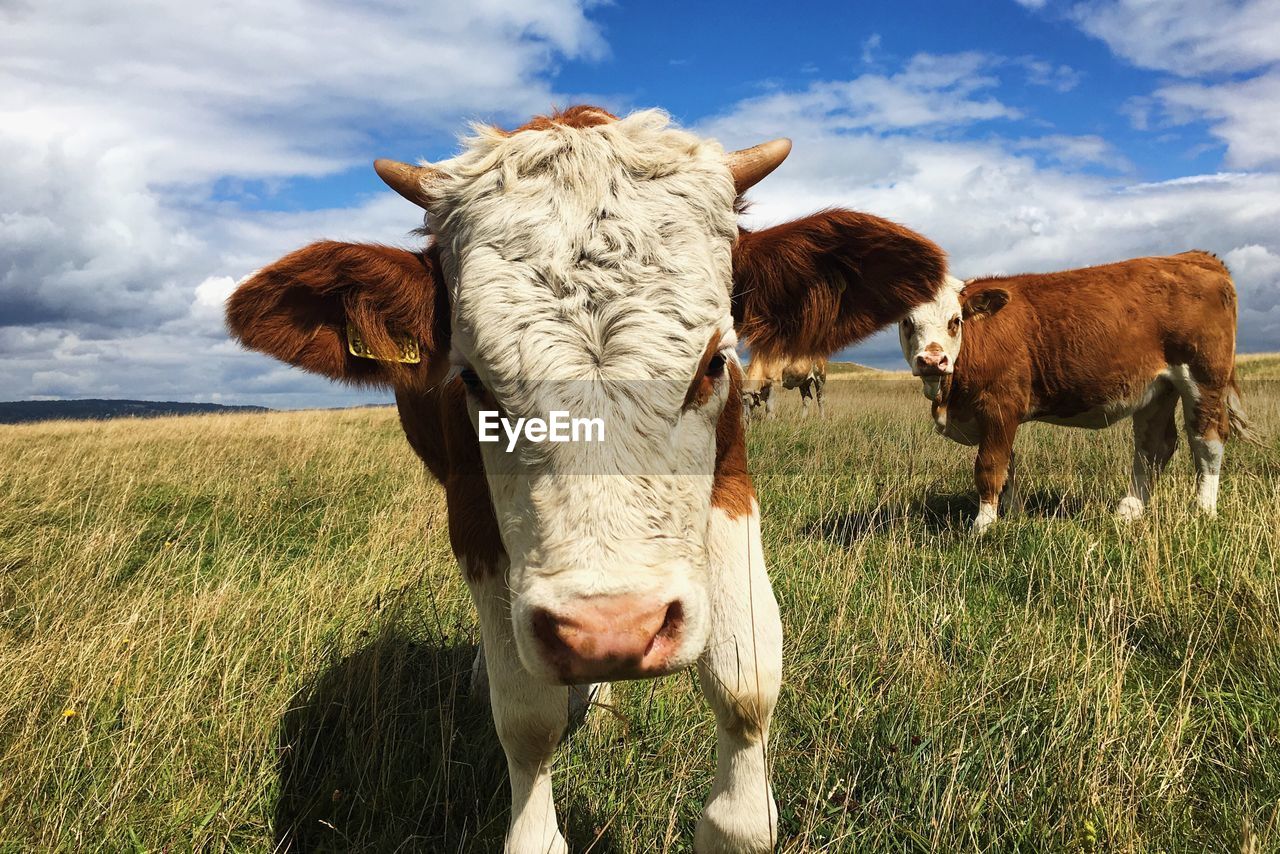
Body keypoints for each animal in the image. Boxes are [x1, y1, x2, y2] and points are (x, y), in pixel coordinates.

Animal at [227, 106, 952, 854]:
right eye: (472, 379)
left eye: (713, 363)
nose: (613, 629)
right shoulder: (476, 524)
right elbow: (526, 716)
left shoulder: (731, 486)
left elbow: (745, 679)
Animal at [896, 256, 1254, 535]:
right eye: (907, 322)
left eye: (954, 320)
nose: (932, 359)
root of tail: (1196, 257)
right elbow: (1008, 468)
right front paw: (1014, 516)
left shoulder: (1000, 405)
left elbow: (990, 466)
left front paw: (983, 526)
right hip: (1156, 389)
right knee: (1154, 446)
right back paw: (1130, 510)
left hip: (1203, 378)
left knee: (1206, 440)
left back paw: (1203, 511)